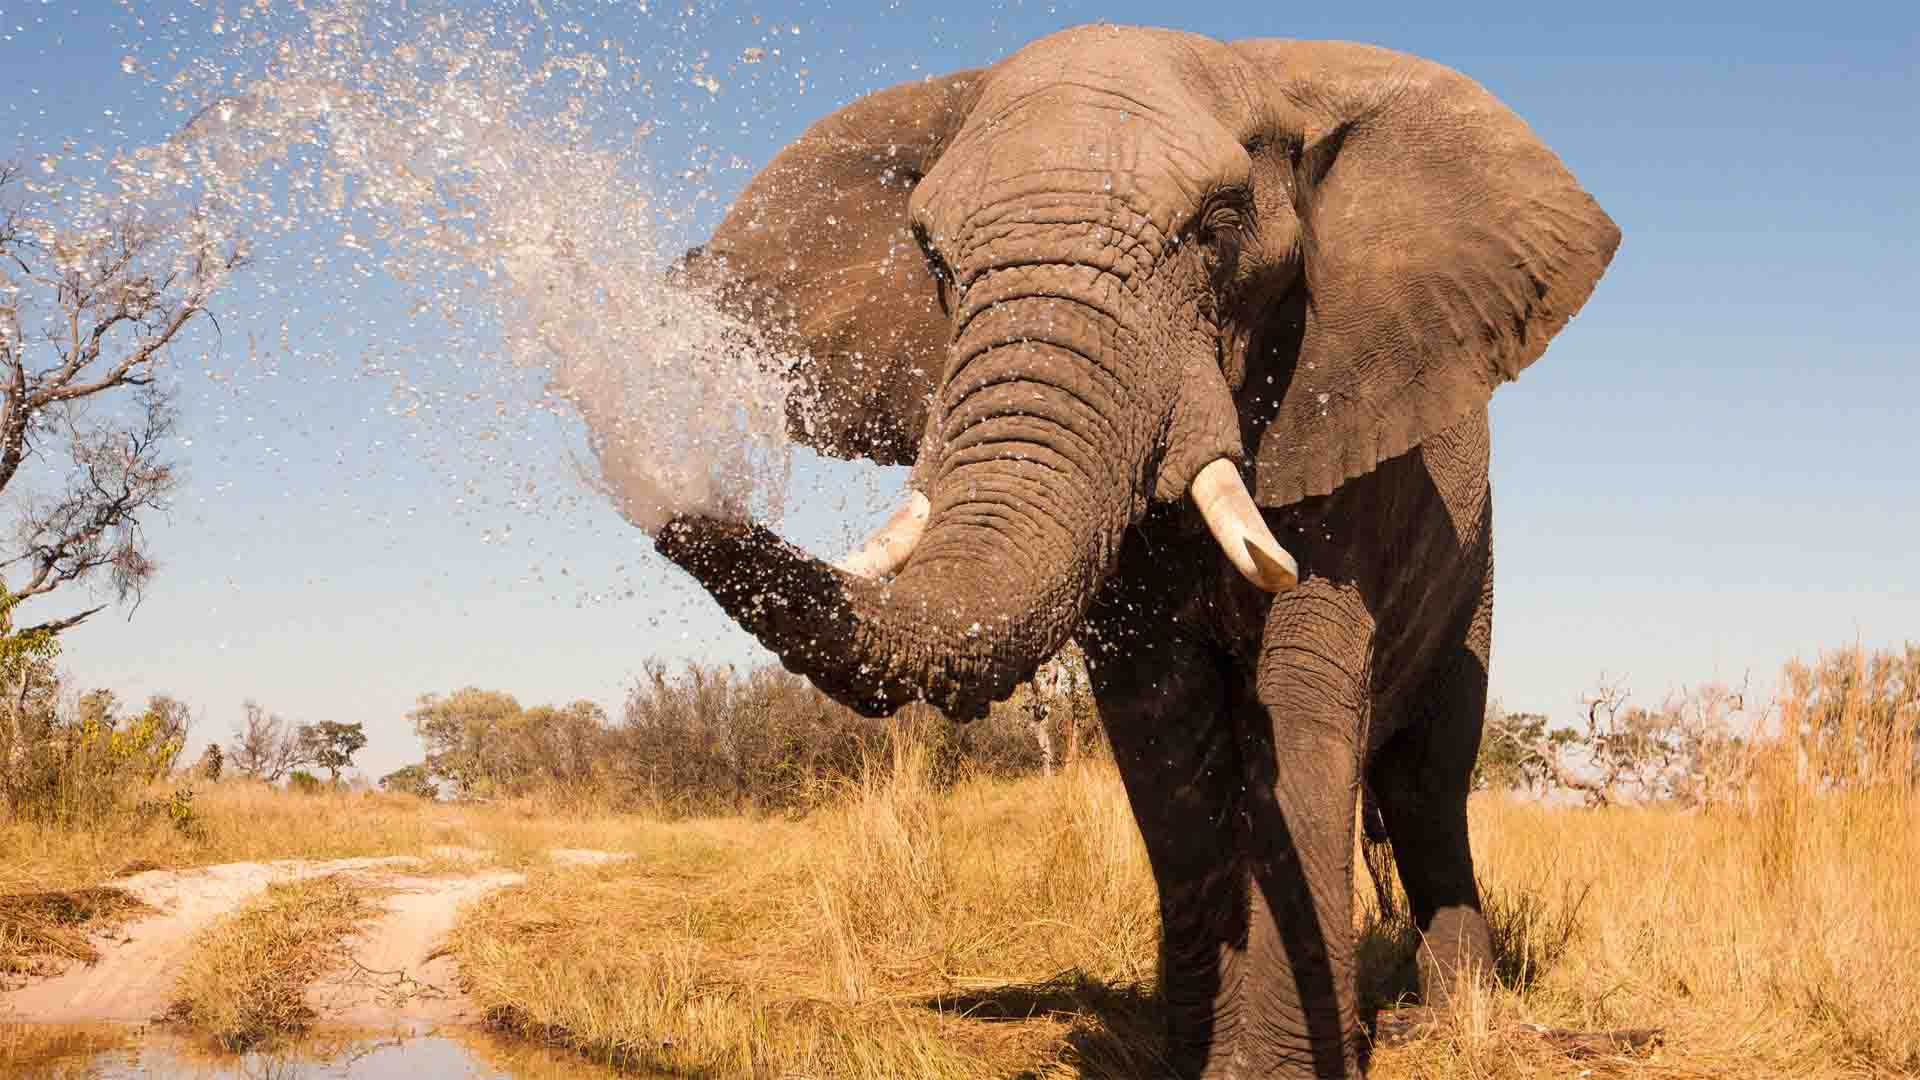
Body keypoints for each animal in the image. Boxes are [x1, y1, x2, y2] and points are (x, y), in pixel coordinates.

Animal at [644, 24, 1619, 1078]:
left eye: (1218, 228)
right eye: (932, 256)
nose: (672, 508)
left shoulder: (1346, 420)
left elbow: (1301, 700)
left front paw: (1277, 1069)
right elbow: (1163, 720)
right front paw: (1197, 1056)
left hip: (1474, 571)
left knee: (1429, 779)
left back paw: (1452, 1019)